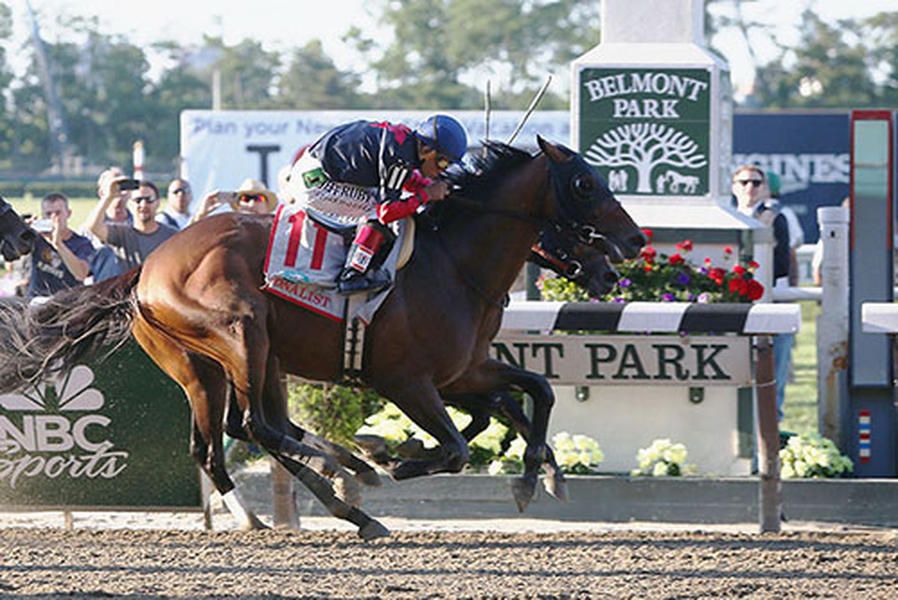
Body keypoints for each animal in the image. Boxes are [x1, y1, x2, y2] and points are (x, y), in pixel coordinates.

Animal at [0, 137, 644, 540]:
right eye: (584, 183)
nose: (631, 245)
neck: (454, 263)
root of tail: (147, 267)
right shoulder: (407, 382)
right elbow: (460, 446)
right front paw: (390, 455)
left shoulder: (463, 371)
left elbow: (532, 391)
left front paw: (539, 474)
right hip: (241, 336)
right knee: (253, 428)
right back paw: (347, 483)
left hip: (213, 365)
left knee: (229, 437)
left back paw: (315, 494)